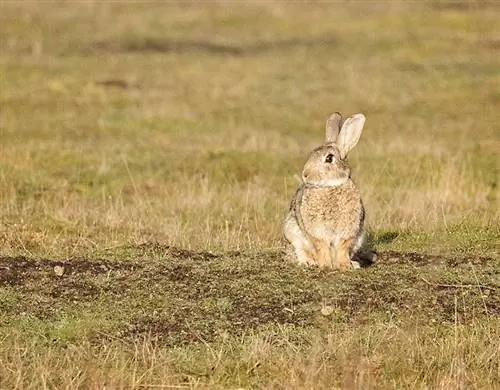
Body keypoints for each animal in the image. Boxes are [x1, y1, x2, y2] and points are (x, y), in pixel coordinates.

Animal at [284, 111, 374, 270]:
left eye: (329, 158)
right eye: (312, 153)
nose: (305, 174)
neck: (330, 186)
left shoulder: (349, 231)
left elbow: (343, 247)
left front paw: (345, 265)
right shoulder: (317, 232)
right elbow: (322, 246)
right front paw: (325, 265)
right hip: (292, 231)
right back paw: (309, 262)